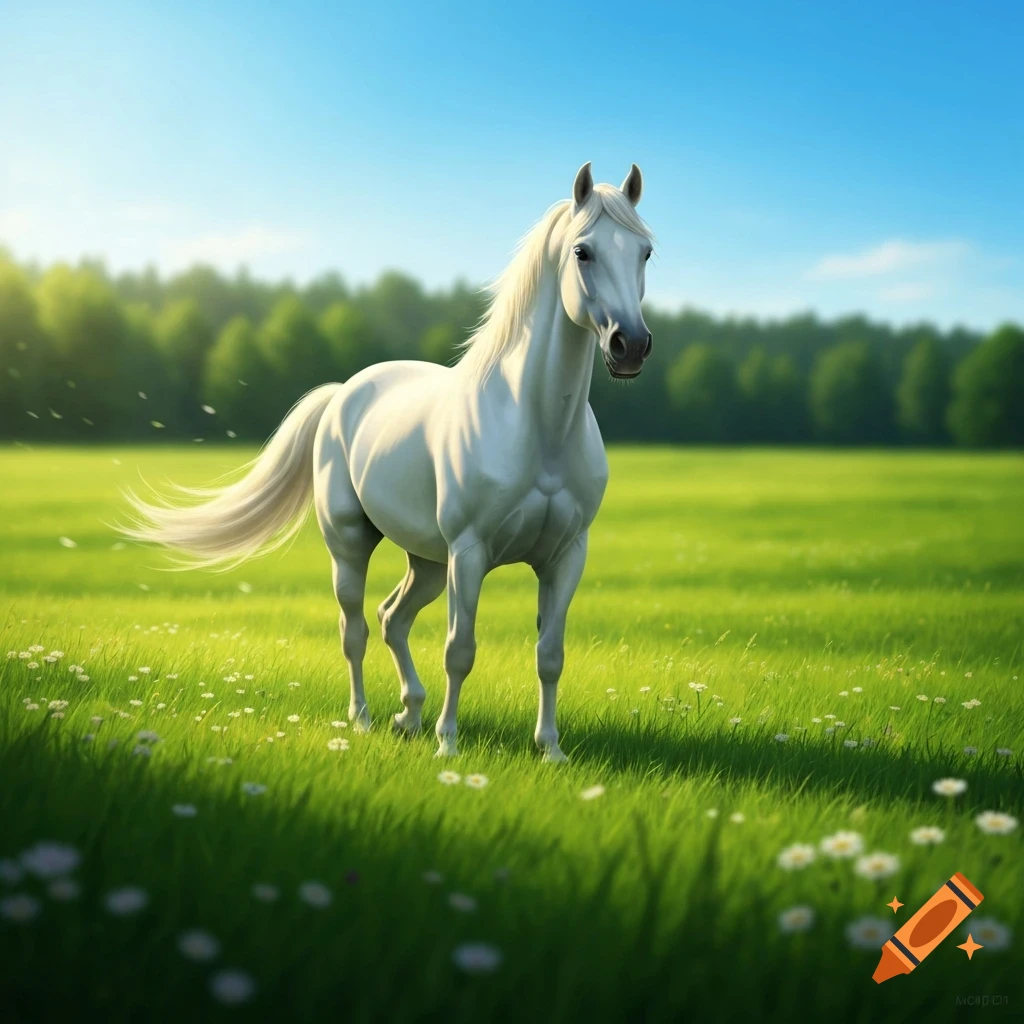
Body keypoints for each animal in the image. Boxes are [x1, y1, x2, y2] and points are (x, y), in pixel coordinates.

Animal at [123, 162, 656, 761]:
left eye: (645, 252)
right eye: (583, 252)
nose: (630, 346)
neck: (537, 427)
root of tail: (342, 394)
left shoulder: (566, 556)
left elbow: (550, 653)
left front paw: (551, 750)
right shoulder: (470, 553)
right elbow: (460, 649)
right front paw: (449, 746)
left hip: (428, 562)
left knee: (392, 619)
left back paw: (410, 713)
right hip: (353, 546)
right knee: (355, 627)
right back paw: (365, 719)